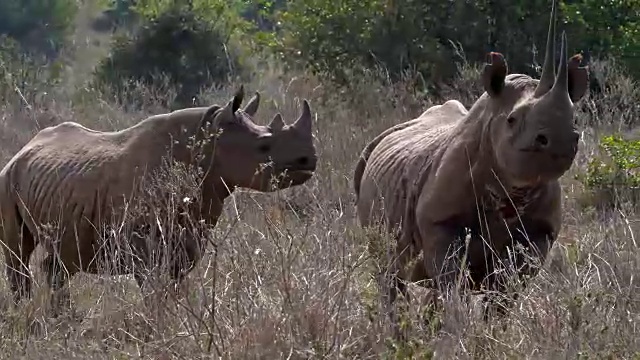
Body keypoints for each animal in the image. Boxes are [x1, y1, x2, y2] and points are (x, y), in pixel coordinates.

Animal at [0, 86, 318, 310]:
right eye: (264, 146)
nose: (309, 160)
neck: (206, 141)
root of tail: (25, 148)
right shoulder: (143, 244)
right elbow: (152, 288)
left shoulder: (190, 233)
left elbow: (174, 286)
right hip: (7, 180)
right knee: (18, 254)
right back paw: (25, 313)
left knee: (60, 262)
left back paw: (60, 317)